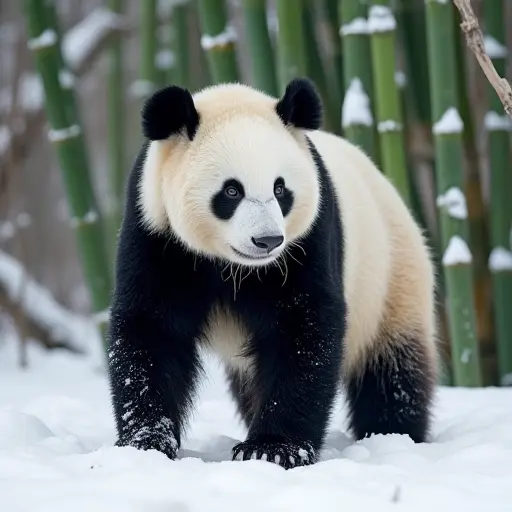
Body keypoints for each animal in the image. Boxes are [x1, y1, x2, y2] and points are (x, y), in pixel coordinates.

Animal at [106, 74, 438, 470]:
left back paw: (393, 434)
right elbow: (151, 330)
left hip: (391, 278)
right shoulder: (156, 234)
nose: (267, 240)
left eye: (281, 190)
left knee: (393, 371)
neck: (235, 268)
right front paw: (145, 442)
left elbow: (303, 331)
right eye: (231, 191)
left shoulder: (307, 240)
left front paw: (273, 448)